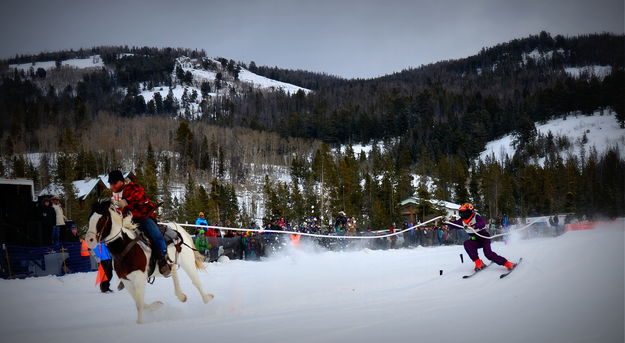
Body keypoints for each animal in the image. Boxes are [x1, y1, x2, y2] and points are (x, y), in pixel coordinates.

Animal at [85, 200, 213, 324]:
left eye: (102, 219)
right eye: (89, 219)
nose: (89, 240)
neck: (126, 247)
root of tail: (177, 227)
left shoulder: (139, 278)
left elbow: (139, 303)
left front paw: (140, 323)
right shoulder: (126, 280)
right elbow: (139, 302)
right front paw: (156, 305)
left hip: (187, 262)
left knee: (196, 282)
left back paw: (207, 298)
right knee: (173, 270)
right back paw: (181, 296)